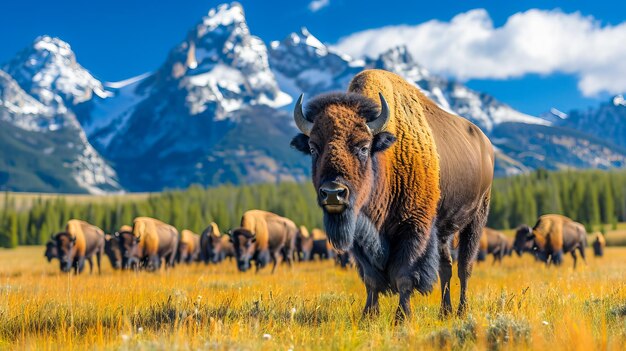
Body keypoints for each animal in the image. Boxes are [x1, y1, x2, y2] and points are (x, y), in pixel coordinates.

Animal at [288, 69, 492, 320]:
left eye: (363, 147)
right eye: (313, 148)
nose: (333, 193)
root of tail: (485, 144)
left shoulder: (413, 228)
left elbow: (404, 275)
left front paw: (402, 317)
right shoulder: (360, 237)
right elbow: (371, 278)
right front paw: (368, 315)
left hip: (476, 219)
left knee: (465, 267)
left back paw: (462, 311)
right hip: (444, 231)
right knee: (446, 267)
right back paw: (444, 312)